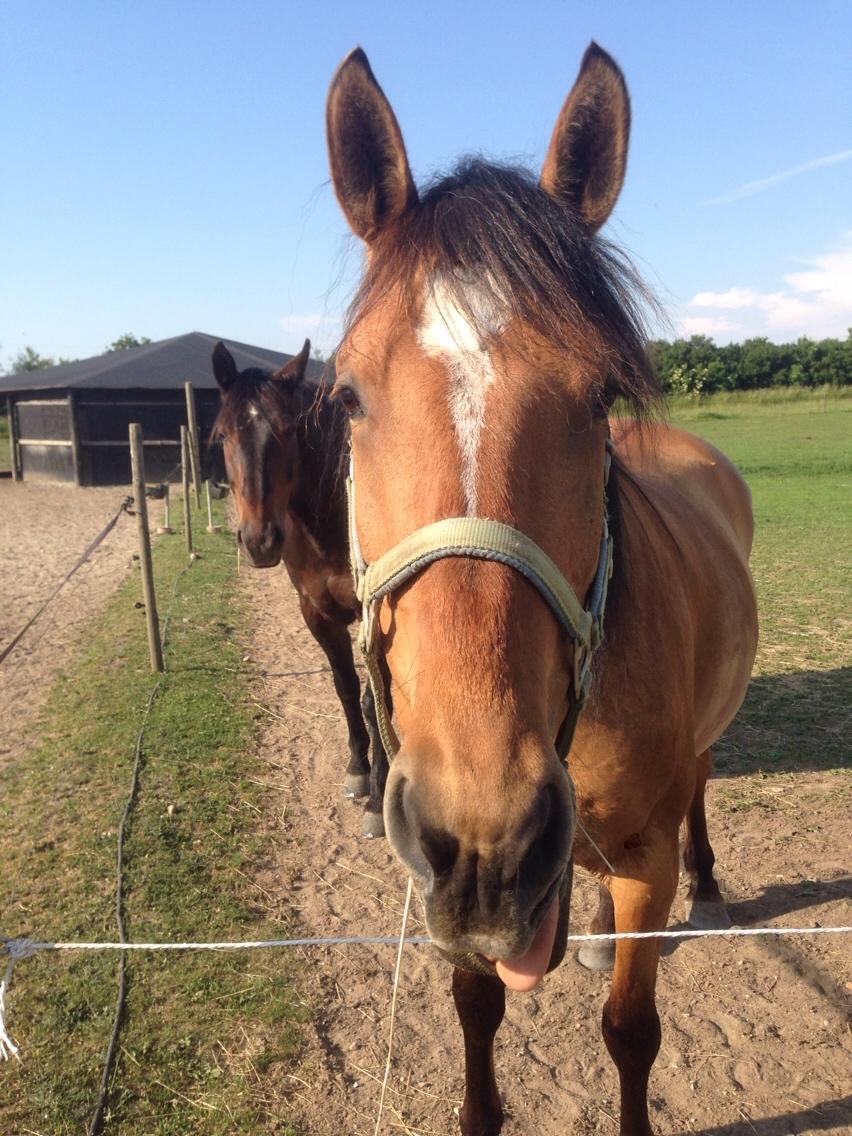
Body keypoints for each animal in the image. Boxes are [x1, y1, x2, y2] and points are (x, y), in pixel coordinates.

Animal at [212, 336, 388, 836]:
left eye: (289, 430)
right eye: (224, 435)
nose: (260, 540)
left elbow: (372, 700)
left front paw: (378, 799)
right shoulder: (316, 612)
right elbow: (346, 688)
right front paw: (358, 770)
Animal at [327, 44, 758, 1136]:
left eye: (601, 394)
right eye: (346, 397)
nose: (487, 829)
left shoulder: (640, 857)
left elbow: (632, 1033)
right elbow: (475, 1006)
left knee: (699, 785)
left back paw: (704, 880)